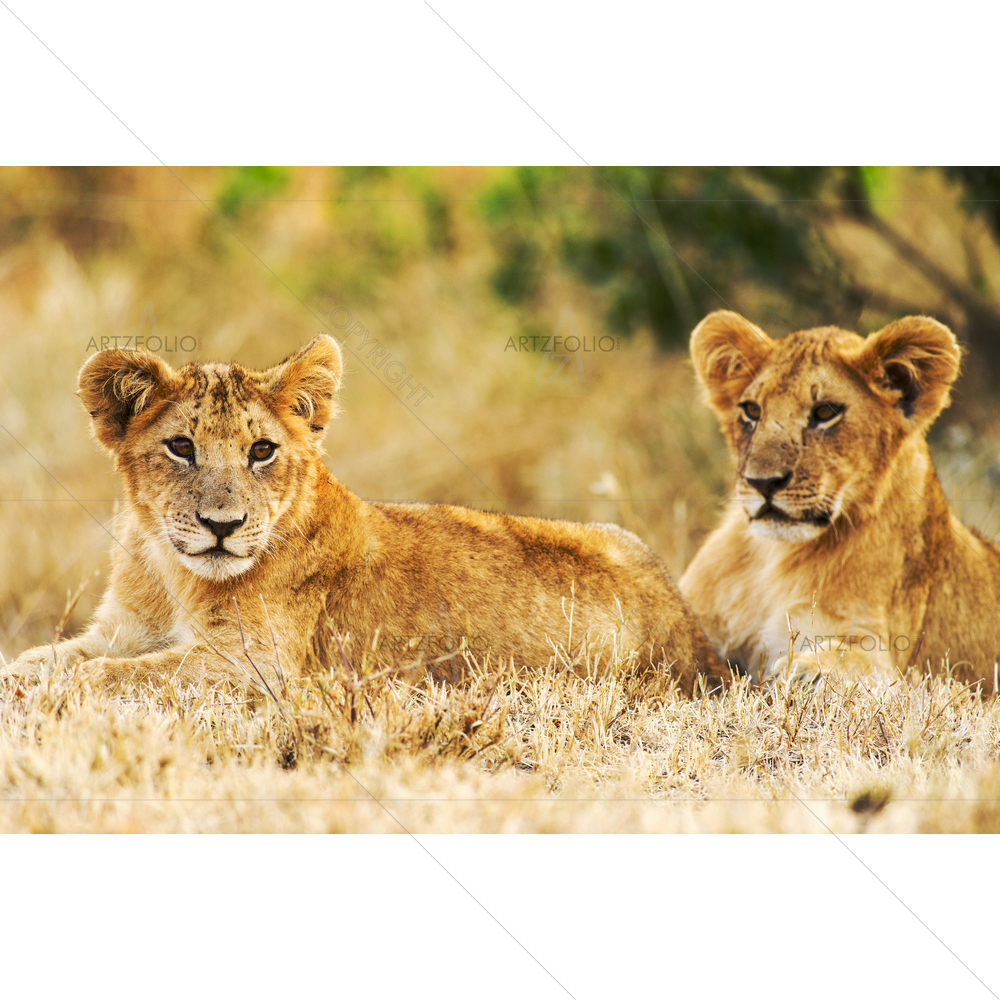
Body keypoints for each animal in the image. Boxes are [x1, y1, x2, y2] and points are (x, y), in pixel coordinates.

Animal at [5, 335, 729, 697]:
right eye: (181, 447)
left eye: (261, 451)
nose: (222, 527)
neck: (168, 569)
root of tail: (697, 636)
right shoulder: (119, 631)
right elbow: (38, 661)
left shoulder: (255, 665)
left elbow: (104, 678)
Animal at [679, 309, 1000, 692]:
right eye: (752, 410)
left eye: (824, 412)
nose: (763, 482)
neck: (774, 558)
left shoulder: (885, 653)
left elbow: (851, 660)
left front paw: (803, 670)